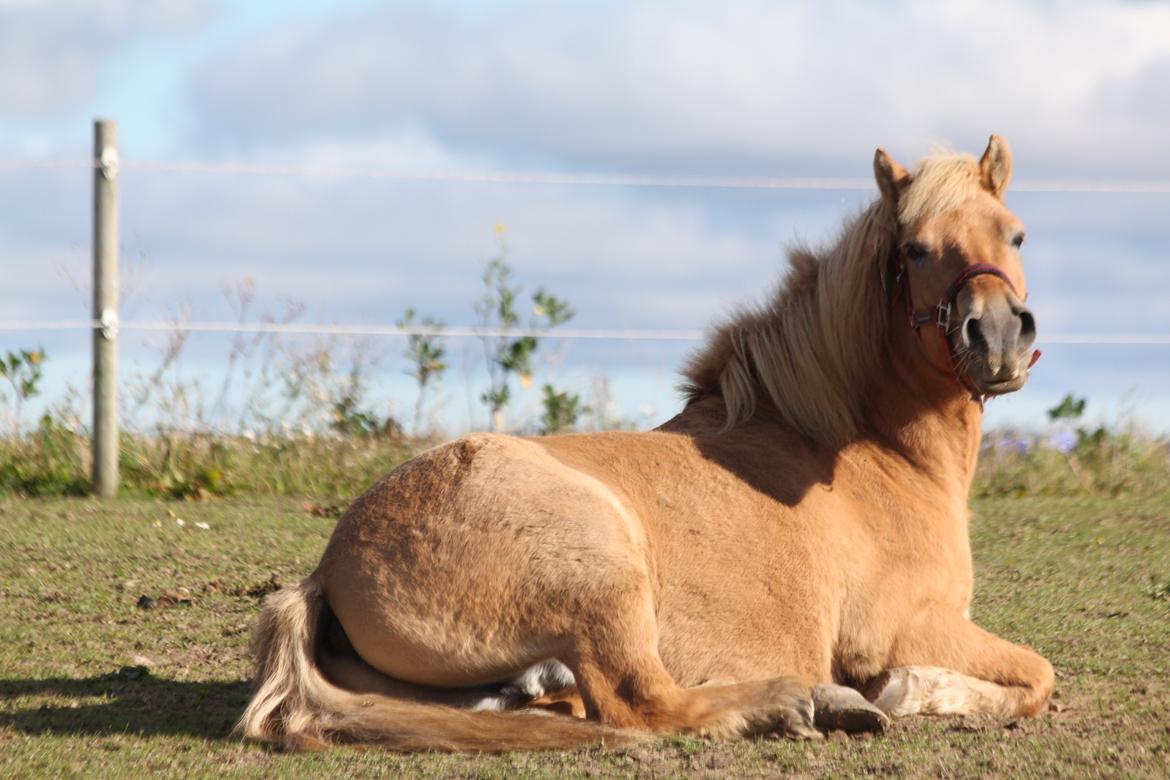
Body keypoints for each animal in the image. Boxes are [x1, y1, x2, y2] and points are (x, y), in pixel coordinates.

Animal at [237, 137, 1053, 753]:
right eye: (915, 250)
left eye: (1016, 233)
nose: (997, 335)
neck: (862, 453)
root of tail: (328, 568)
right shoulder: (906, 628)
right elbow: (1037, 677)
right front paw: (905, 690)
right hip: (606, 584)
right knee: (641, 703)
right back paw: (800, 703)